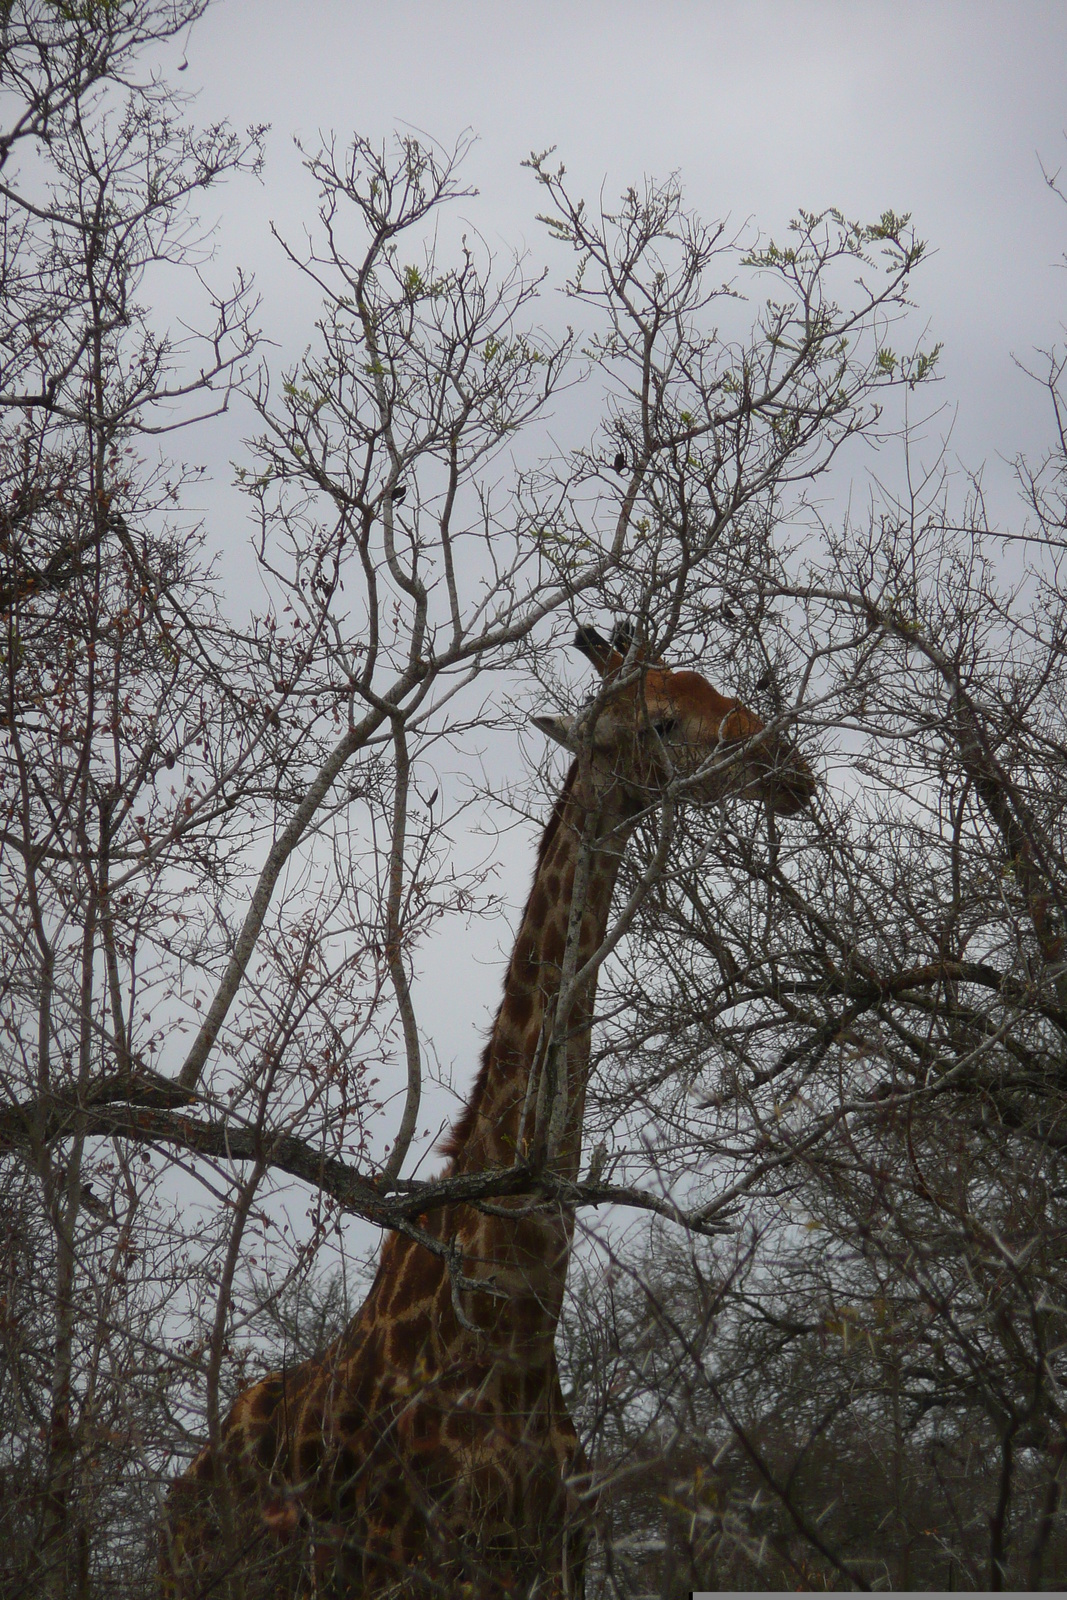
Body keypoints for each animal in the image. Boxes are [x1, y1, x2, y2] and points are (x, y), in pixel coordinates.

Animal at [158, 624, 812, 1600]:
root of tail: (178, 1494)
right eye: (660, 720)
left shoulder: (555, 1559)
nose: (789, 768)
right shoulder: (421, 1566)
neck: (517, 1330)